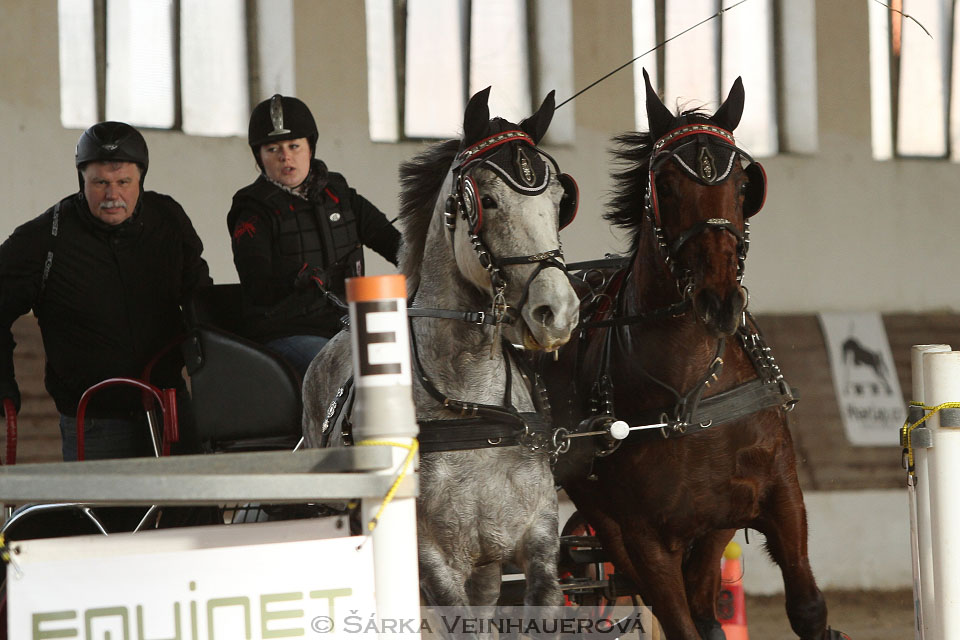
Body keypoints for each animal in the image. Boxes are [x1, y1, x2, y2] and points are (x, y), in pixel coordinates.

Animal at [304, 89, 580, 608]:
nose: (558, 311)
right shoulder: (433, 562)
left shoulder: (536, 541)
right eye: (487, 201)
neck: (471, 405)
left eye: (560, 202)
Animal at [544, 71, 852, 640]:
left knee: (709, 608)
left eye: (744, 187)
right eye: (664, 186)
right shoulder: (644, 537)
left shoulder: (779, 495)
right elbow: (679, 622)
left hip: (714, 523)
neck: (691, 392)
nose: (720, 301)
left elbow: (808, 607)